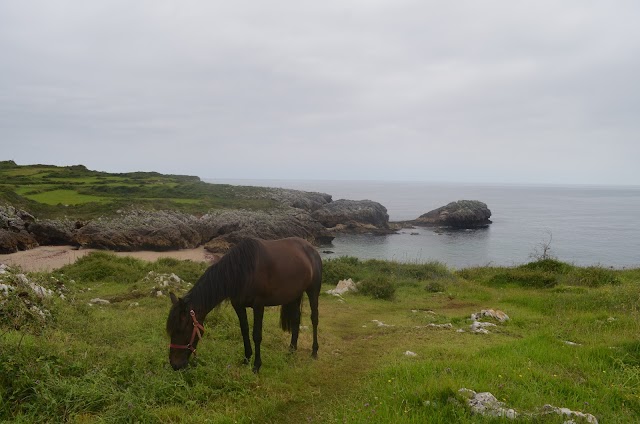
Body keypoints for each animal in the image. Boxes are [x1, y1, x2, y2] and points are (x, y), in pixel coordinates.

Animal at [166, 237, 322, 372]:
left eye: (181, 330)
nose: (175, 365)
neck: (243, 271)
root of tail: (310, 248)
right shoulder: (238, 305)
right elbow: (244, 330)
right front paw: (246, 359)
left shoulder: (259, 305)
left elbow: (256, 335)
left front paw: (256, 365)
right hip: (294, 296)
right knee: (296, 320)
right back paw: (291, 350)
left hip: (313, 291)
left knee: (314, 319)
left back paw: (314, 352)